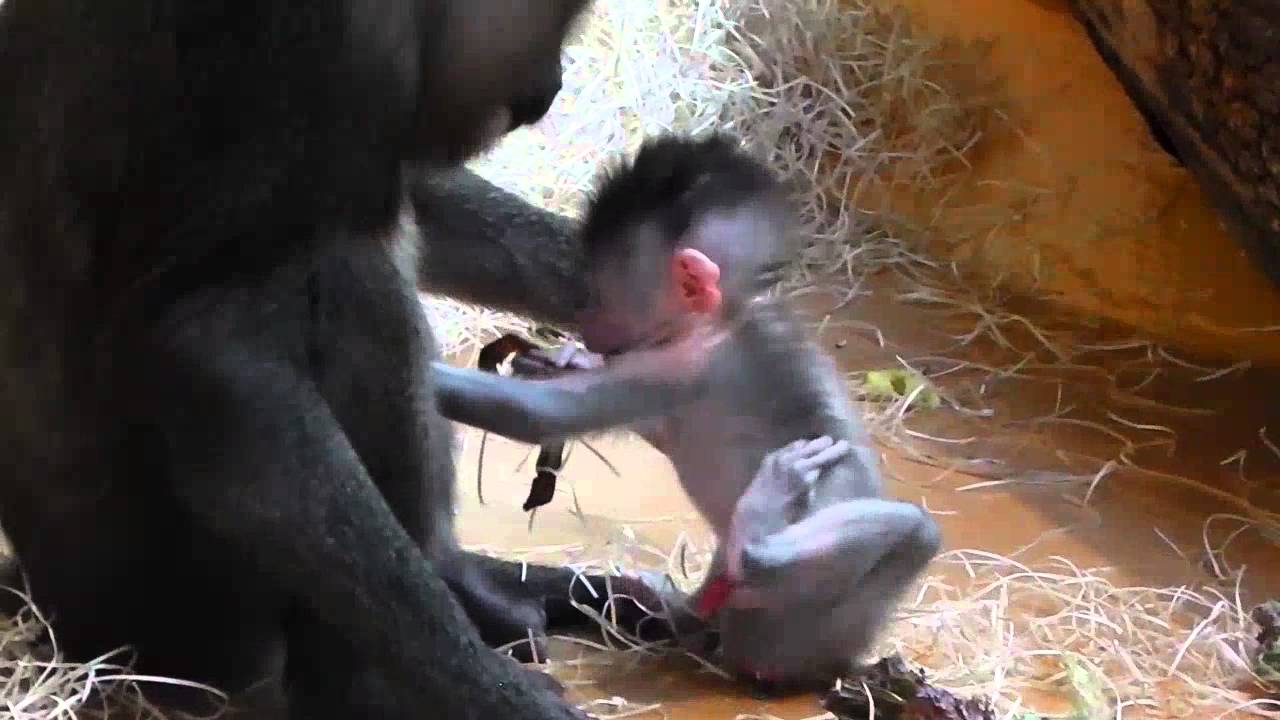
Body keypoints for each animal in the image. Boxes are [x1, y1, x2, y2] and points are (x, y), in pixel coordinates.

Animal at [0, 1, 730, 718]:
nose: (547, 87)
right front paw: (489, 693)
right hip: (190, 617)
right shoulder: (331, 44)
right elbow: (215, 343)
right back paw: (384, 664)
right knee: (350, 274)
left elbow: (415, 190)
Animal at [431, 133, 943, 693]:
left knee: (911, 533)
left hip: (798, 633)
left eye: (598, 293)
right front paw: (561, 359)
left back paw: (757, 530)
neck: (721, 317)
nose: (585, 322)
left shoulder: (681, 363)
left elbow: (536, 415)